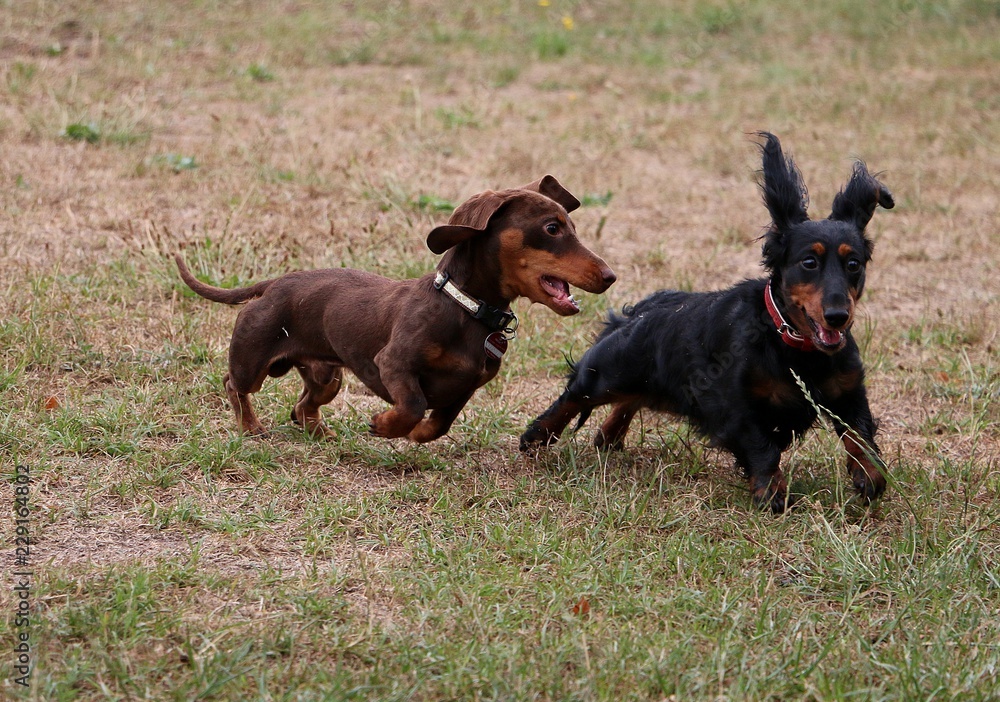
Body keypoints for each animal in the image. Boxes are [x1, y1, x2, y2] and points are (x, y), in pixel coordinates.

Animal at [179, 174, 612, 442]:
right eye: (552, 228)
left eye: (572, 226)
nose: (610, 276)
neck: (465, 310)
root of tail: (273, 284)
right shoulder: (394, 364)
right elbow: (414, 405)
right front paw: (385, 425)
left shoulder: (467, 385)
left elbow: (437, 424)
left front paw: (413, 434)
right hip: (253, 360)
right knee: (234, 385)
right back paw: (251, 427)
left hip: (327, 376)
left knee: (303, 406)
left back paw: (320, 434)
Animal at [520, 135, 896, 516]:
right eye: (809, 262)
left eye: (853, 264)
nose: (838, 316)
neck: (795, 347)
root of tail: (646, 305)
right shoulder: (737, 406)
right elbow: (762, 447)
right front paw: (771, 492)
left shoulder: (848, 393)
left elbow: (860, 436)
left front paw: (869, 475)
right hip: (612, 368)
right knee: (576, 393)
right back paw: (538, 435)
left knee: (629, 400)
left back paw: (608, 437)